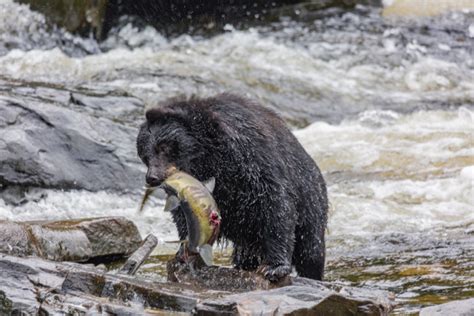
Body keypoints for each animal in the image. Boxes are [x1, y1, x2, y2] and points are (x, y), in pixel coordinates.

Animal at [137, 92, 328, 280]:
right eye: (144, 155)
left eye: (164, 147)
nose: (152, 177)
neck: (210, 161)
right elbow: (184, 216)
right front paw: (184, 253)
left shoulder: (251, 160)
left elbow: (275, 206)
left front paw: (274, 267)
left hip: (311, 204)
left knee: (310, 250)